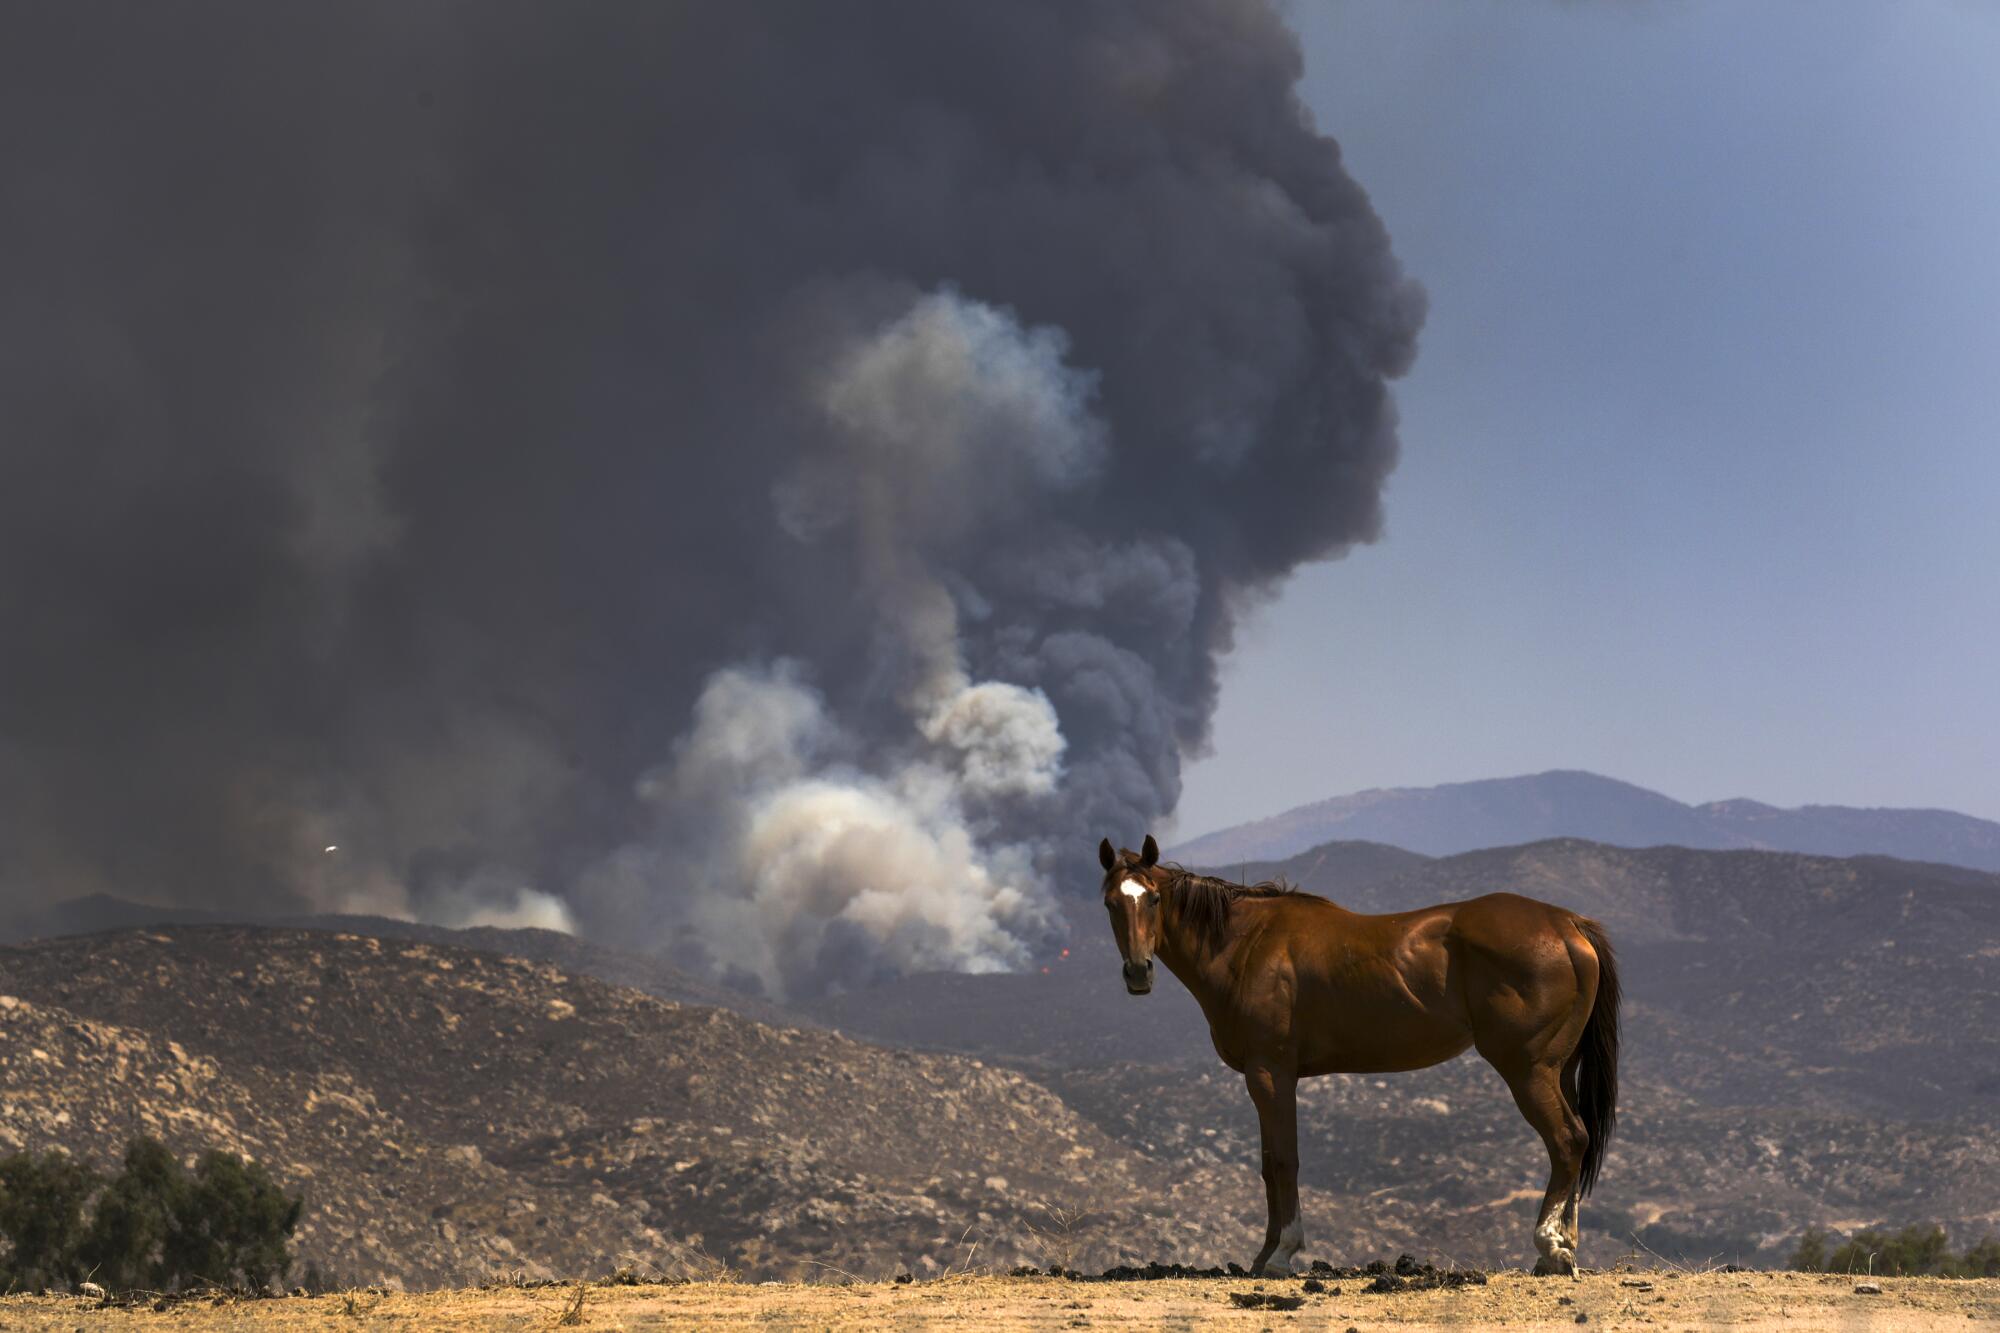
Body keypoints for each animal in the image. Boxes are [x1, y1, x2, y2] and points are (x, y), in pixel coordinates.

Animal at [1104, 832, 1616, 1280]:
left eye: (1153, 899)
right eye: (1111, 902)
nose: (1137, 972)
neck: (1246, 944)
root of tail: (1567, 926)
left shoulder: (1270, 1073)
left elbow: (1283, 1160)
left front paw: (1281, 1254)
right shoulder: (1266, 1077)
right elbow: (1270, 1164)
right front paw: (1265, 1254)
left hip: (1528, 1070)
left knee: (1567, 1139)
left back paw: (1550, 1248)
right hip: (1559, 1069)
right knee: (1577, 1140)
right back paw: (1564, 1246)